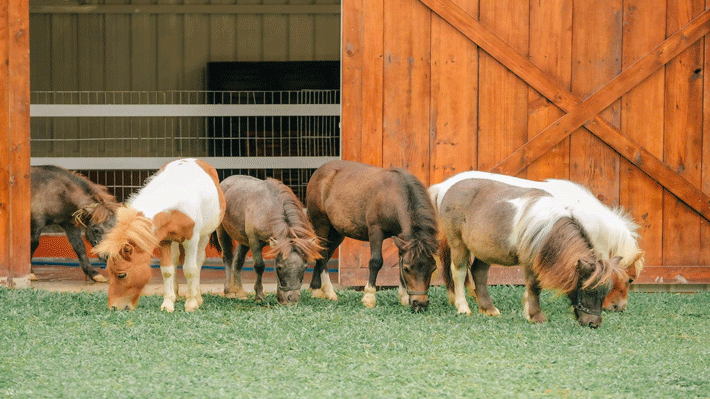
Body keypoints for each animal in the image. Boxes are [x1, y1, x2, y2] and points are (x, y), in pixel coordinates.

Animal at [93, 159, 224, 312]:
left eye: (122, 275)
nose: (113, 307)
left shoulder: (191, 240)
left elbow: (190, 269)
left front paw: (191, 304)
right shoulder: (164, 241)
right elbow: (167, 270)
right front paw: (168, 304)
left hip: (204, 236)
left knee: (198, 261)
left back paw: (197, 297)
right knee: (175, 260)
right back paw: (176, 294)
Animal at [211, 175, 322, 306]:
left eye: (305, 267)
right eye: (280, 268)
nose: (293, 299)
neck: (268, 208)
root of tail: (224, 182)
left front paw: (280, 298)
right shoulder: (255, 241)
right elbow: (259, 266)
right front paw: (259, 295)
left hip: (244, 240)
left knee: (238, 260)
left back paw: (240, 292)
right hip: (222, 231)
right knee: (227, 257)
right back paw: (229, 291)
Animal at [308, 159, 442, 312]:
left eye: (433, 268)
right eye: (407, 269)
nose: (420, 303)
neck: (393, 195)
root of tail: (319, 171)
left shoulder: (401, 236)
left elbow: (400, 258)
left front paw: (402, 297)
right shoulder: (375, 231)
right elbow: (376, 261)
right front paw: (369, 297)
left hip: (337, 232)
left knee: (324, 253)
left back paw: (319, 290)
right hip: (321, 224)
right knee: (322, 253)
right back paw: (326, 291)